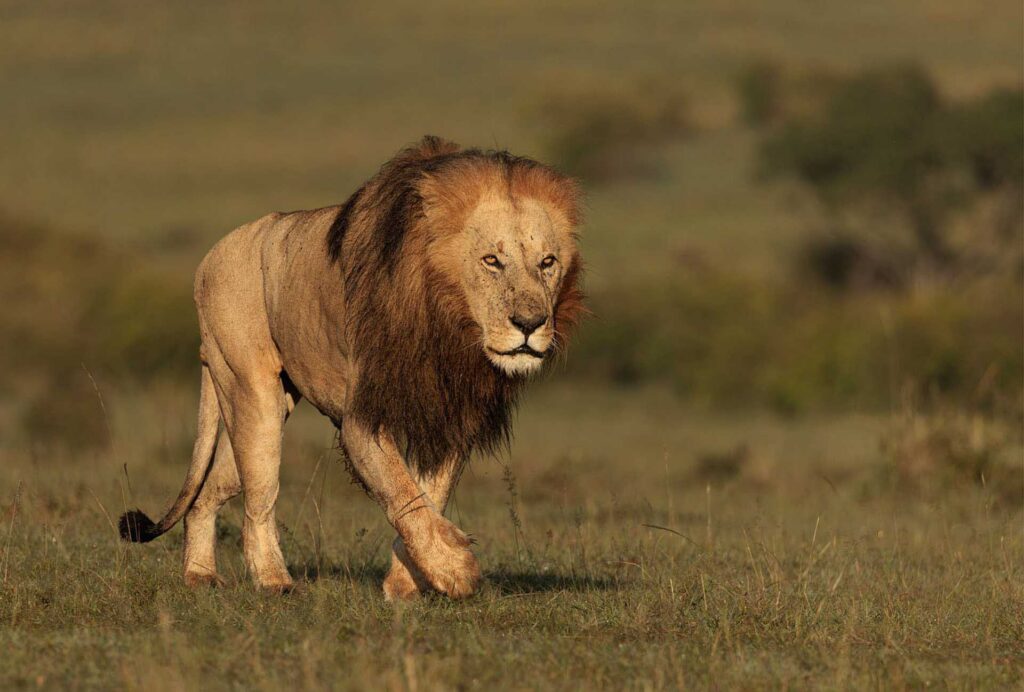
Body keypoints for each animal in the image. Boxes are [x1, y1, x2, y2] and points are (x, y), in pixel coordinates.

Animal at [118, 136, 584, 599]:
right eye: (491, 260)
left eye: (547, 262)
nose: (530, 324)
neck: (448, 326)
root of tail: (211, 257)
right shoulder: (361, 419)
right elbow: (401, 490)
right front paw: (456, 569)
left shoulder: (447, 415)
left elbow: (427, 495)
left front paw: (406, 582)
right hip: (252, 391)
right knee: (260, 499)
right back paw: (274, 581)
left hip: (255, 406)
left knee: (210, 493)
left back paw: (199, 575)